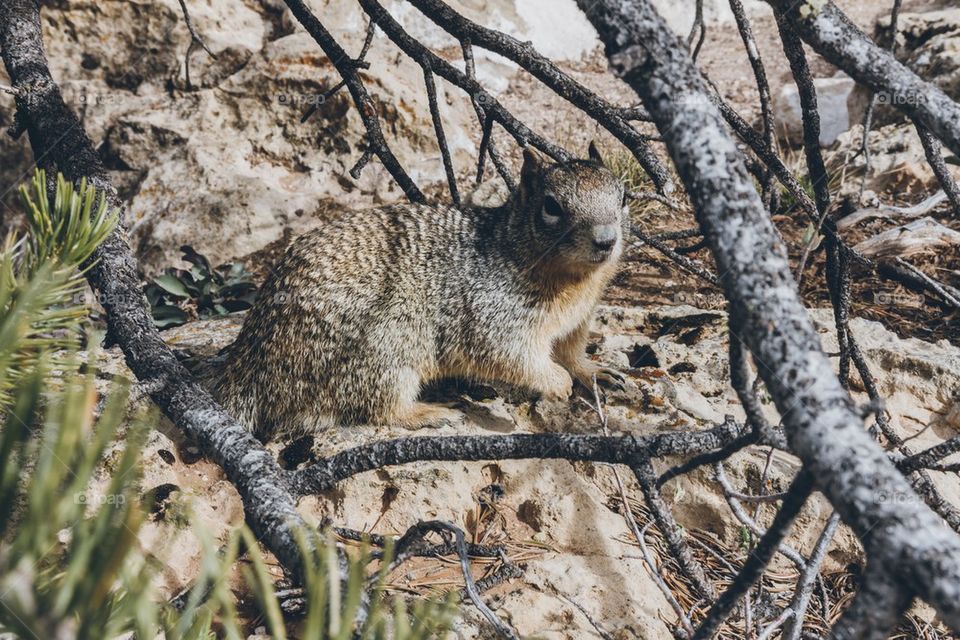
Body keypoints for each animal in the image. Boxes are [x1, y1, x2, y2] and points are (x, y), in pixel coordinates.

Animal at [215, 143, 630, 441]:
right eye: (551, 206)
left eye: (623, 196)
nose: (606, 240)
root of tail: (250, 368)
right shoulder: (494, 314)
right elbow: (514, 356)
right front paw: (557, 381)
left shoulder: (578, 320)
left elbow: (572, 351)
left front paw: (594, 371)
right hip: (385, 349)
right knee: (375, 408)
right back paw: (431, 413)